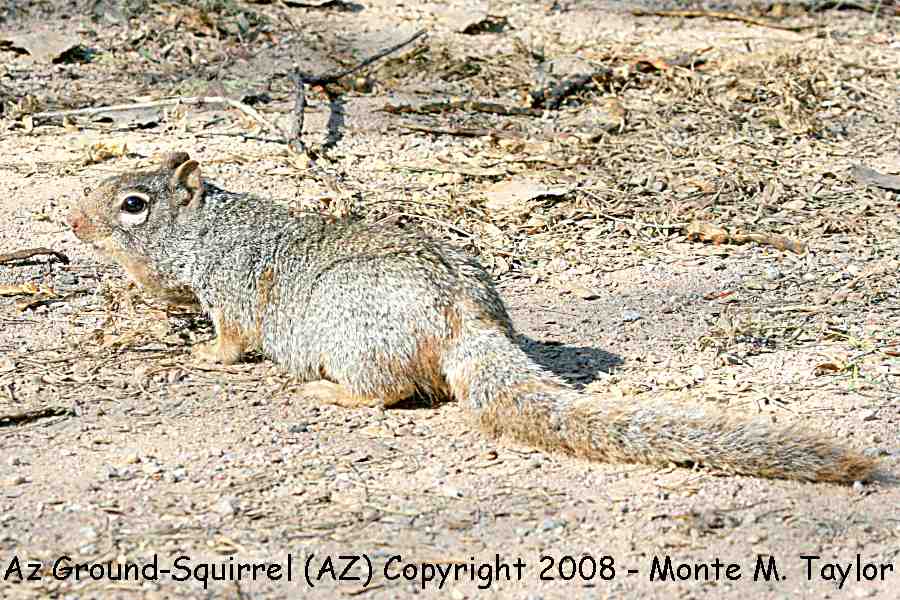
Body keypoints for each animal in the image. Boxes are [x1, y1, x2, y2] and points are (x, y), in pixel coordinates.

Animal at [67, 152, 877, 484]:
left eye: (132, 203)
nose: (72, 221)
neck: (207, 229)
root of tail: (470, 320)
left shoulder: (233, 295)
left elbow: (232, 341)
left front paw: (201, 355)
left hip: (355, 343)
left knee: (389, 391)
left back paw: (330, 391)